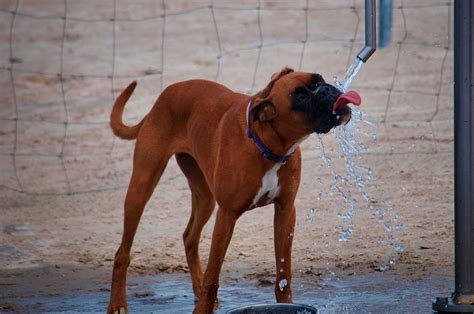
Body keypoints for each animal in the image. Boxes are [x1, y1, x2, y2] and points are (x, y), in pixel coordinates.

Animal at [106, 67, 360, 312]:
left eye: (319, 80)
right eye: (300, 97)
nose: (326, 90)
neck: (268, 145)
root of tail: (163, 96)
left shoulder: (285, 211)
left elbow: (283, 274)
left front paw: (286, 304)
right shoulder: (226, 216)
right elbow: (213, 277)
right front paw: (203, 308)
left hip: (205, 198)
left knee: (189, 237)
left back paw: (196, 290)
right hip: (141, 187)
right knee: (122, 253)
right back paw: (117, 304)